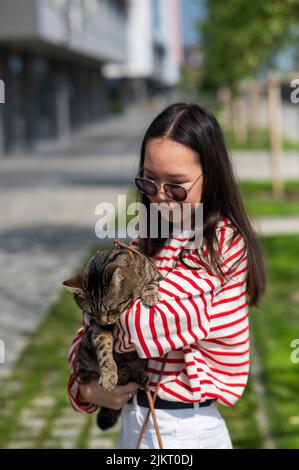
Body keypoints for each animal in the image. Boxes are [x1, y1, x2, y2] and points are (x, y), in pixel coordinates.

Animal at [61, 244, 163, 432]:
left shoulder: (154, 272)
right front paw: (109, 374)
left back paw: (138, 373)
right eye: (91, 312)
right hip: (84, 356)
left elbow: (152, 282)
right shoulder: (98, 329)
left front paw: (150, 294)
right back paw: (122, 375)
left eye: (111, 309)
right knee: (90, 375)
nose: (103, 320)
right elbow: (104, 352)